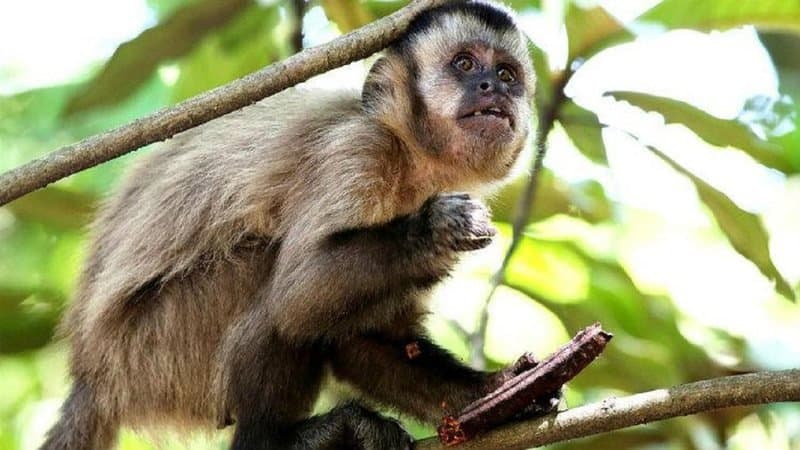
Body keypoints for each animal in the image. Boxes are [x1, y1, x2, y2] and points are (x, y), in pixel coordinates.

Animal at [40, 1, 557, 449]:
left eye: (507, 74)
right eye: (465, 64)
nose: (492, 87)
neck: (409, 158)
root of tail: (91, 377)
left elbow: (367, 344)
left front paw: (503, 391)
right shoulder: (355, 150)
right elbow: (299, 298)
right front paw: (437, 227)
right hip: (154, 357)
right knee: (270, 286)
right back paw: (270, 440)